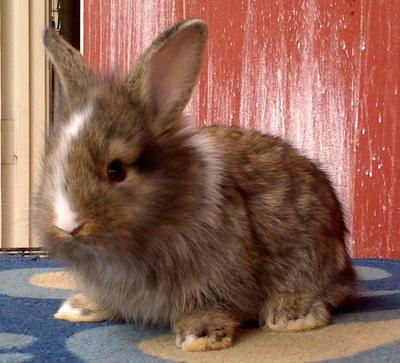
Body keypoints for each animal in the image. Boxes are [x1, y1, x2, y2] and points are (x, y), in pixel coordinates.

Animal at [33, 19, 356, 352]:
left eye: (116, 170)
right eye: (50, 161)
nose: (69, 224)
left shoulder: (216, 275)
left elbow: (209, 304)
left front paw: (199, 336)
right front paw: (79, 308)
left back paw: (291, 313)